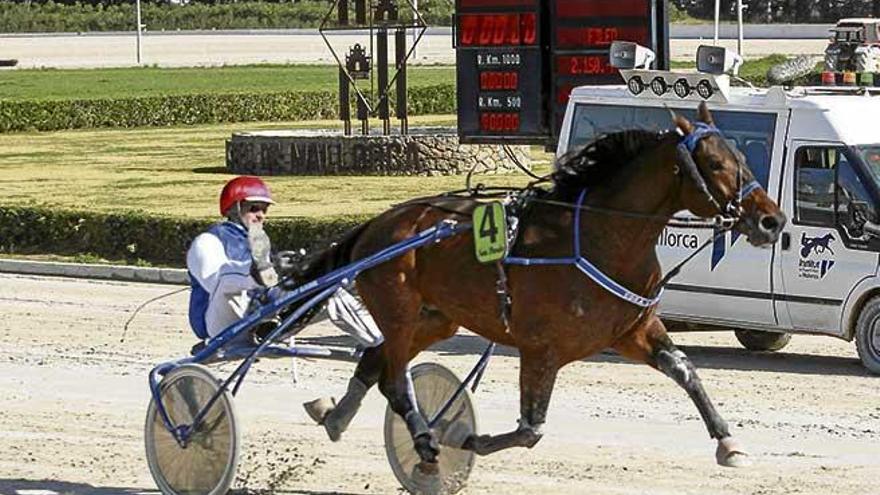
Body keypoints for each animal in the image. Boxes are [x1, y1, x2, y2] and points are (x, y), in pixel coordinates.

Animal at [300, 103, 784, 472]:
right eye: (717, 163)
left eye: (741, 156)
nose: (772, 221)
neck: (600, 238)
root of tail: (375, 226)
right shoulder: (540, 348)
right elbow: (531, 429)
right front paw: (469, 439)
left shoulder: (633, 330)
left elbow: (686, 372)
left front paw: (728, 443)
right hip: (398, 309)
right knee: (396, 381)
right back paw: (423, 440)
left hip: (435, 320)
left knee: (374, 361)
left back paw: (334, 416)